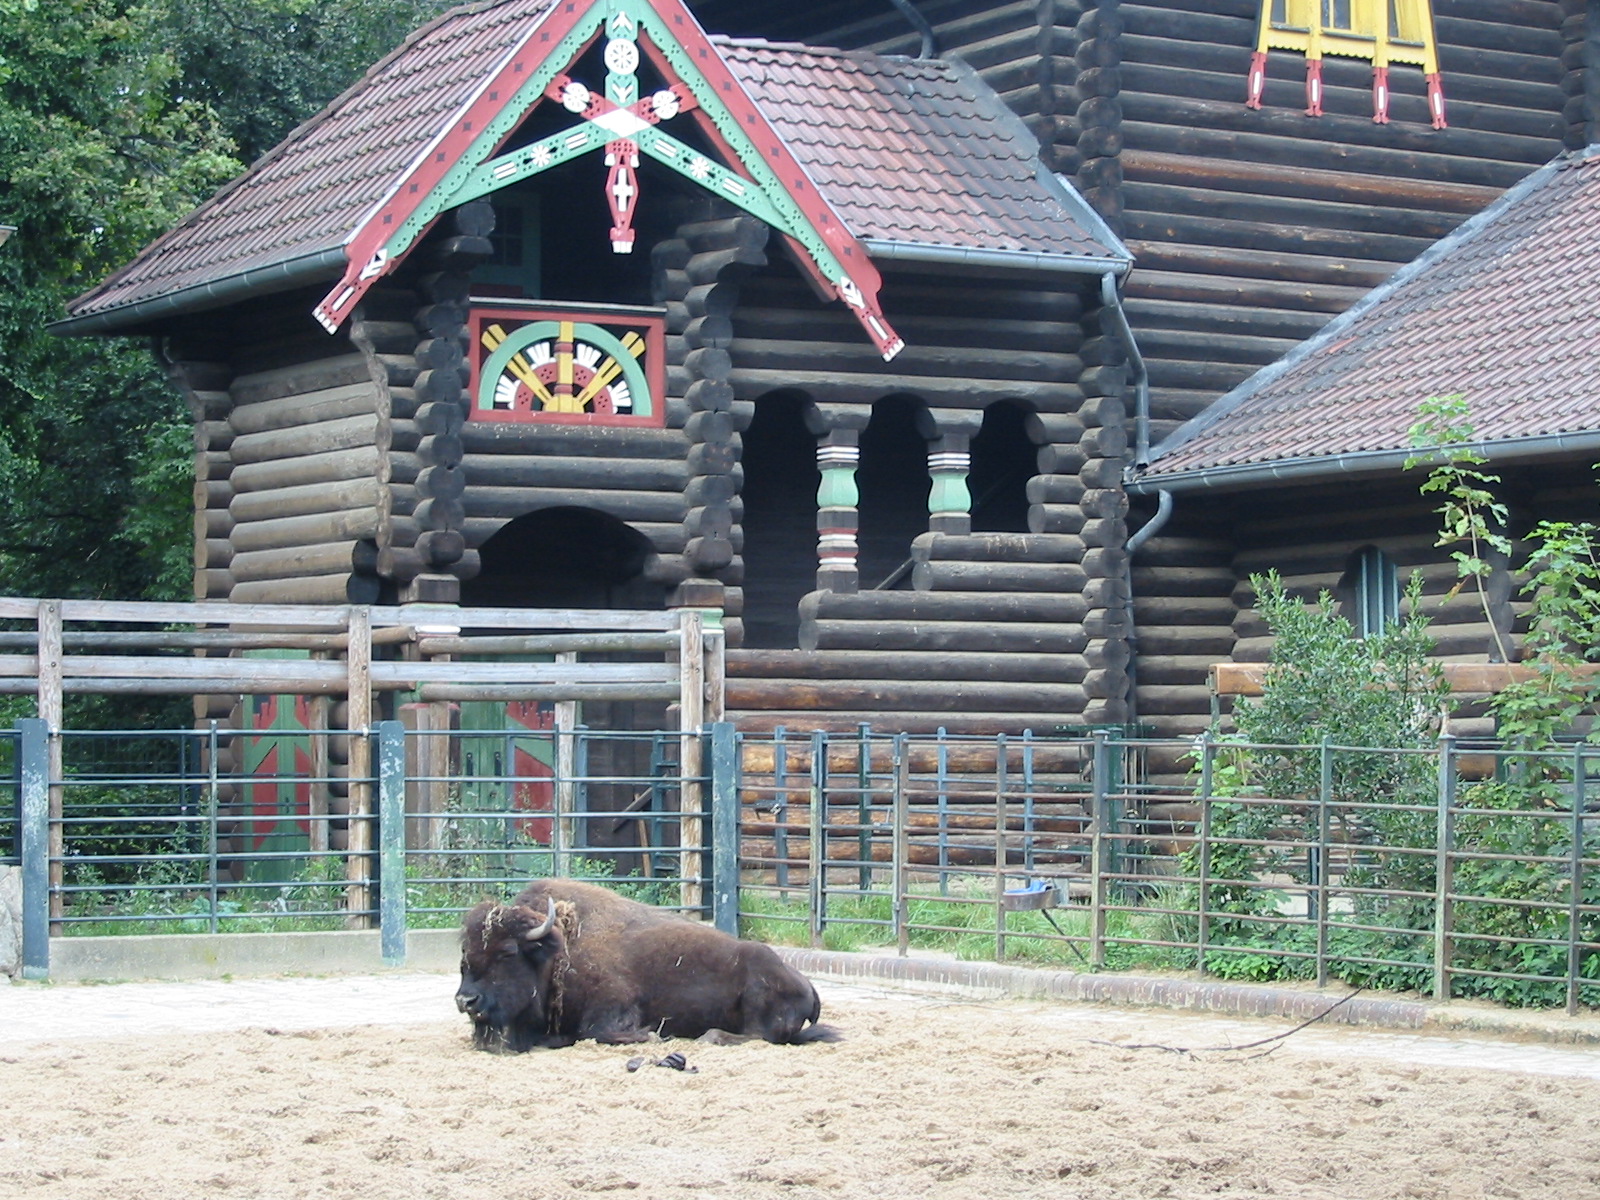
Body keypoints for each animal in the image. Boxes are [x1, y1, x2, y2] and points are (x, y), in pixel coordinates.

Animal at [455, 878, 838, 1052]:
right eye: (465, 953)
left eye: (508, 952)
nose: (466, 1000)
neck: (558, 952)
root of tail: (808, 985)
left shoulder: (612, 1011)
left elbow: (595, 1032)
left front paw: (653, 1035)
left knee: (758, 1036)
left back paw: (709, 1036)